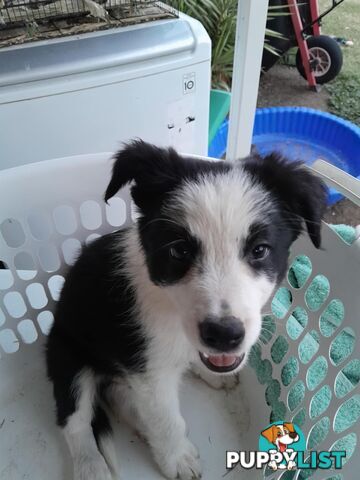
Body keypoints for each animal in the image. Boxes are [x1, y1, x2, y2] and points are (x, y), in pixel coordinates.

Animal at [45, 140, 326, 480]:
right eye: (179, 251)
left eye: (260, 250)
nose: (224, 335)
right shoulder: (150, 372)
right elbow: (166, 419)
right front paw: (176, 459)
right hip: (68, 359)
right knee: (75, 422)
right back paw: (92, 467)